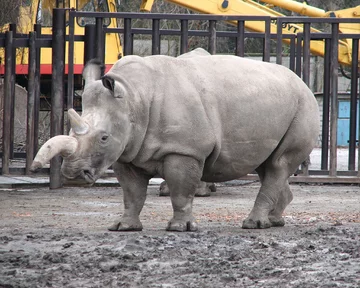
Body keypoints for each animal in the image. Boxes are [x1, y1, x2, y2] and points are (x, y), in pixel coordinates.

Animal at [30, 49, 318, 230]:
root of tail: (304, 82)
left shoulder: (185, 150)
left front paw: (180, 228)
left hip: (303, 105)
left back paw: (254, 225)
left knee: (279, 164)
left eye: (103, 137)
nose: (73, 175)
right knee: (267, 166)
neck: (134, 98)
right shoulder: (127, 152)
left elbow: (181, 190)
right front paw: (124, 227)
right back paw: (274, 221)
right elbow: (131, 194)